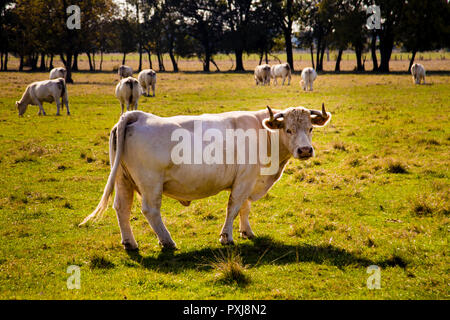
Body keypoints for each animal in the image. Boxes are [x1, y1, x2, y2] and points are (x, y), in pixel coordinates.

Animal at [78, 103, 330, 250]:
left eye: (310, 128)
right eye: (288, 129)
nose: (305, 150)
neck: (264, 134)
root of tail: (137, 115)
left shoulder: (249, 181)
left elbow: (245, 208)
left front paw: (246, 231)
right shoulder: (244, 179)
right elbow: (234, 207)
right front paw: (226, 236)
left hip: (123, 180)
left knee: (122, 208)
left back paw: (130, 243)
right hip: (150, 183)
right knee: (150, 210)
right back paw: (167, 241)